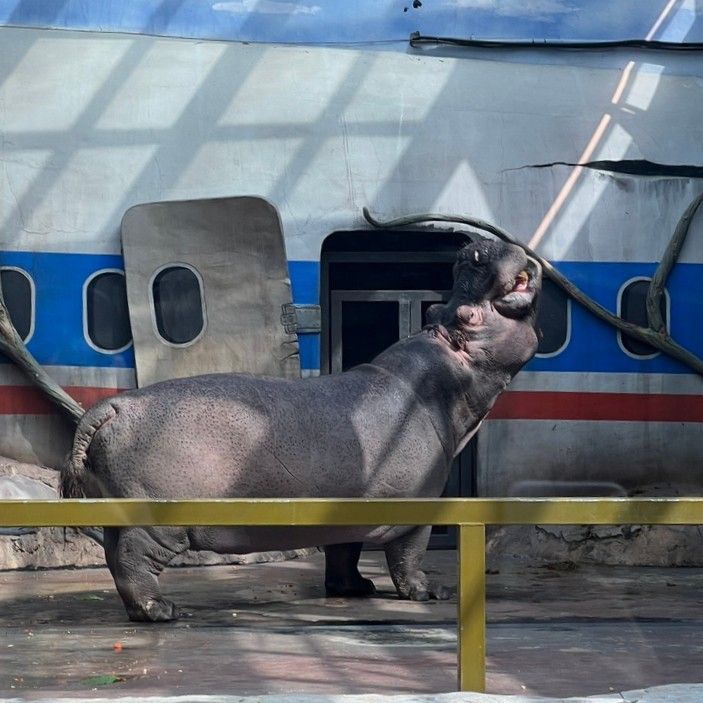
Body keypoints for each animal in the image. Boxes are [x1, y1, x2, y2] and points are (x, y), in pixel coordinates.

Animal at [62, 241, 544, 620]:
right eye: (466, 314)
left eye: (437, 306)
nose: (472, 249)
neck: (444, 375)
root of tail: (113, 405)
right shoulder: (415, 510)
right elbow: (408, 558)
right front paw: (432, 593)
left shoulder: (349, 503)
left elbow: (345, 552)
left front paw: (357, 589)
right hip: (156, 519)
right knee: (132, 560)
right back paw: (162, 611)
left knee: (113, 555)